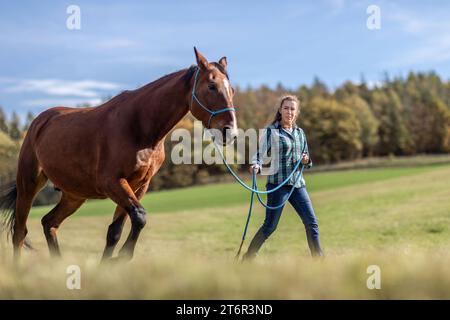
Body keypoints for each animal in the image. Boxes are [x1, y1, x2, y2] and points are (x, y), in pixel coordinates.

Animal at [0, 48, 237, 262]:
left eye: (232, 90)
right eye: (211, 86)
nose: (230, 132)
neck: (139, 126)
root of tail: (40, 122)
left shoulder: (139, 185)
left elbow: (115, 231)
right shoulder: (112, 183)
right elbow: (139, 217)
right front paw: (123, 256)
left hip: (74, 195)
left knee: (49, 223)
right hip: (29, 185)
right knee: (20, 232)